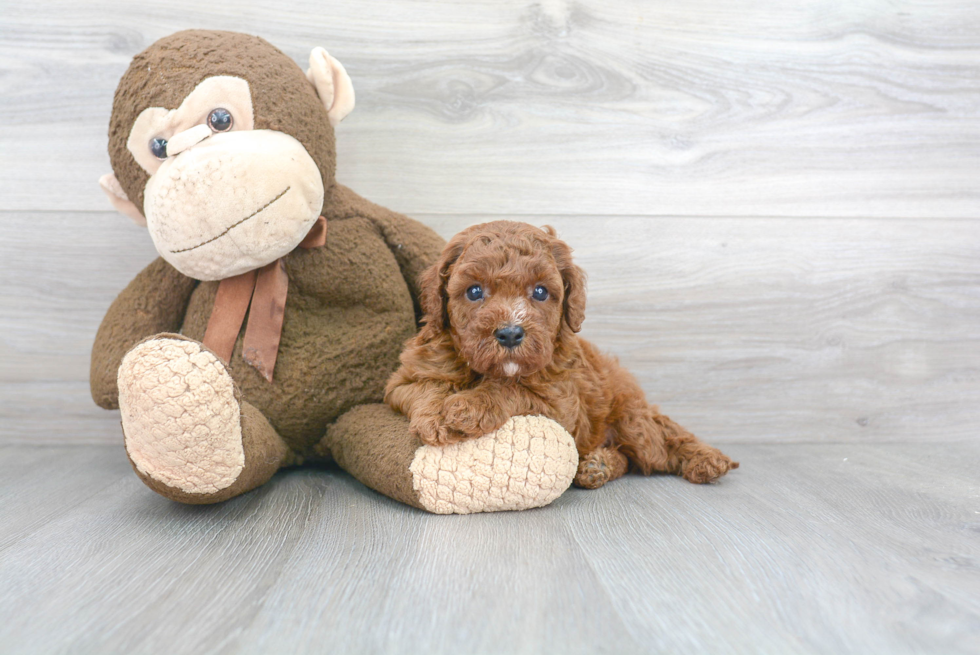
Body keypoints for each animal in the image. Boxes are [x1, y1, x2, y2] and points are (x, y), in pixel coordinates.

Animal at [386, 223, 740, 490]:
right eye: (474, 291)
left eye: (541, 292)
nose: (510, 333)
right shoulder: (403, 381)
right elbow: (426, 387)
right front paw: (435, 416)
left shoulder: (562, 406)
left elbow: (512, 388)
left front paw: (469, 407)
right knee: (627, 456)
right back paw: (597, 465)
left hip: (631, 419)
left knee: (660, 440)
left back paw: (708, 460)